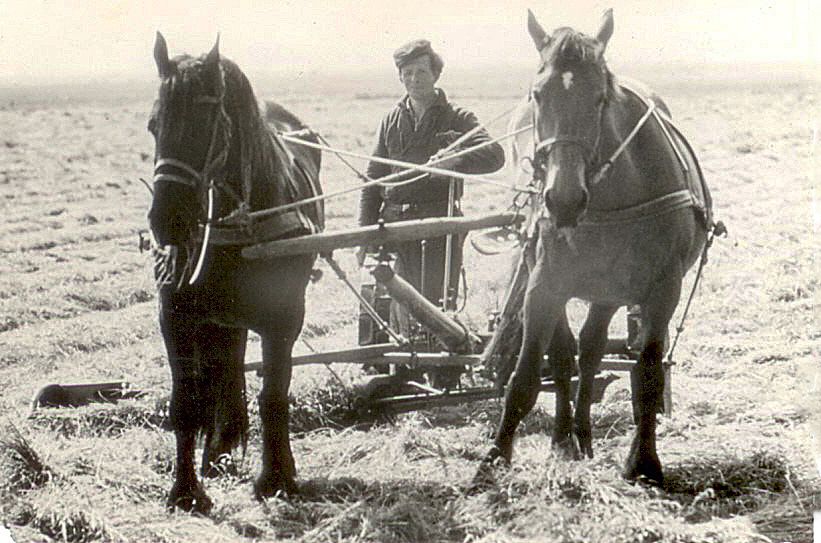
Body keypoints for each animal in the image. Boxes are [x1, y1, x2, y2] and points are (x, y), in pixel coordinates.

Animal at [149, 35, 322, 516]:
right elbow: (186, 403)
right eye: (154, 125)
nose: (165, 221)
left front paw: (277, 478)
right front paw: (185, 490)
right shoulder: (176, 315)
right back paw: (220, 448)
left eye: (203, 124)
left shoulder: (285, 317)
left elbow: (274, 395)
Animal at [474, 9, 712, 484]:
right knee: (568, 356)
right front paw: (494, 458)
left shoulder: (662, 290)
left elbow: (648, 375)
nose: (563, 199)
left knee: (590, 351)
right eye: (537, 95)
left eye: (600, 98)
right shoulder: (544, 285)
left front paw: (644, 462)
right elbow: (526, 377)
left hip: (608, 291)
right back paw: (565, 438)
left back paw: (581, 434)